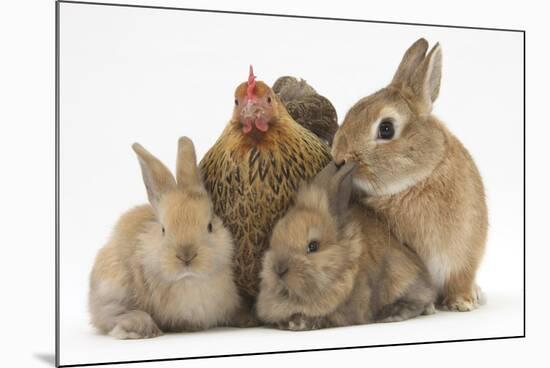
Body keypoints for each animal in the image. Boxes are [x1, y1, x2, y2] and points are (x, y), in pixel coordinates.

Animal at [256, 162, 438, 330]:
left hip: (399, 272)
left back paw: (392, 313)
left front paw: (299, 322)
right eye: (274, 239)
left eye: (313, 246)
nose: (278, 269)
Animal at [330, 38, 490, 312]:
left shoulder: (462, 255)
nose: (339, 157)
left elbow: (459, 278)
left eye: (386, 129)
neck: (415, 182)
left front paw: (461, 303)